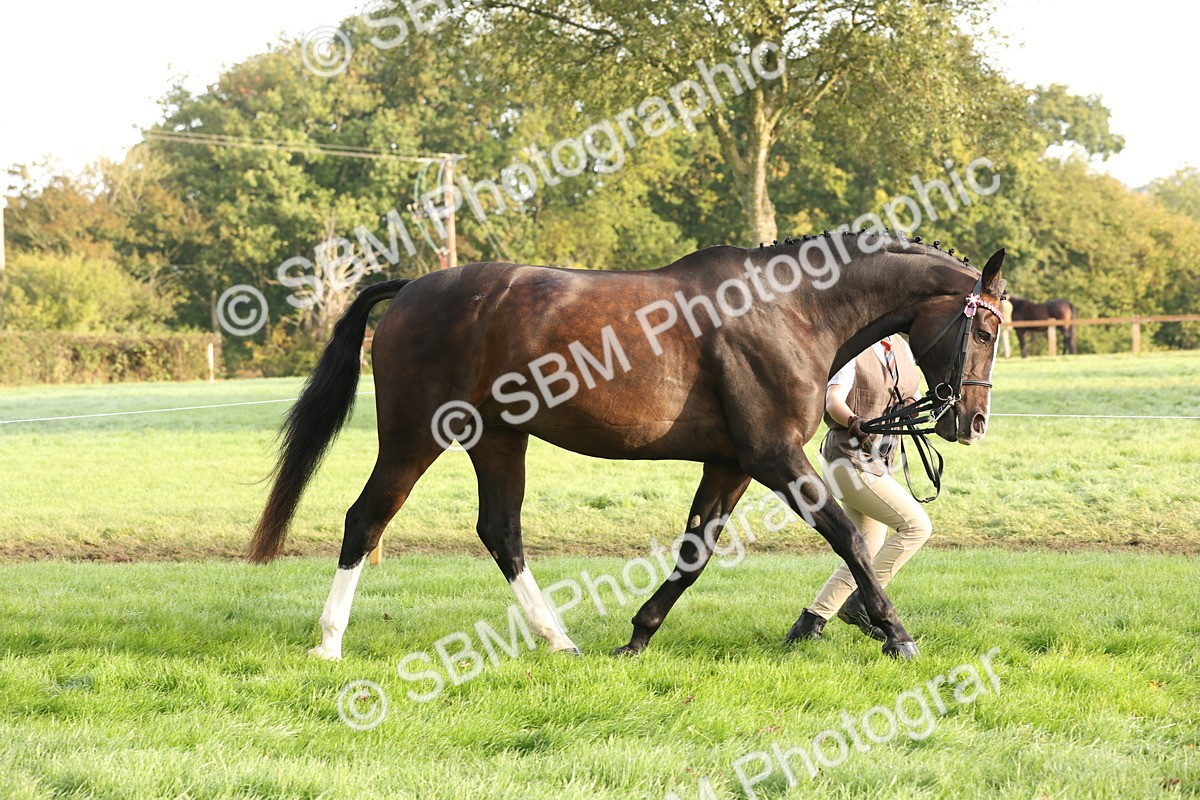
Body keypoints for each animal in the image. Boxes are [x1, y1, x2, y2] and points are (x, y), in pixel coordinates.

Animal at [248, 232, 1006, 662]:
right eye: (987, 328)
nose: (970, 422)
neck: (789, 310)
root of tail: (412, 288)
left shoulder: (730, 465)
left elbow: (695, 553)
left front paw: (638, 635)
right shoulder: (774, 458)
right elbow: (849, 537)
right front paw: (896, 633)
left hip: (499, 440)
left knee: (500, 532)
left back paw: (559, 641)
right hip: (413, 436)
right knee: (365, 520)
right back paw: (329, 643)